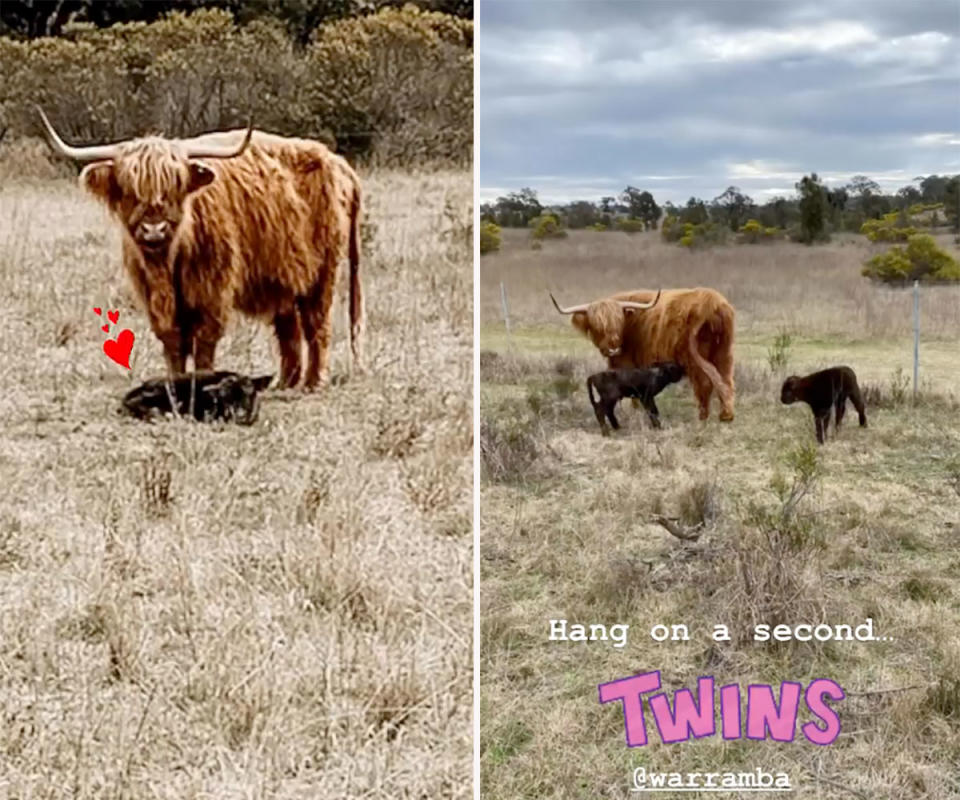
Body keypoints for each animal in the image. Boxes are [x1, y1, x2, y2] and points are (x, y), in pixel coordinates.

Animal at [36, 109, 360, 390]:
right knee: (288, 328)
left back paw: (313, 382)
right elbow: (172, 341)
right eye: (129, 189)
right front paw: (174, 384)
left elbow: (204, 340)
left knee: (317, 324)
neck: (170, 261)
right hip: (283, 276)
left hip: (323, 271)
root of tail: (337, 162)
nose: (154, 230)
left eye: (175, 186)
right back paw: (285, 383)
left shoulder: (212, 289)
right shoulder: (152, 294)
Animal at [552, 290, 740, 424]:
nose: (612, 348)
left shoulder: (626, 364)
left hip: (695, 357)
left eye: (617, 321)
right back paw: (726, 415)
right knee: (726, 380)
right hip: (724, 353)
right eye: (597, 326)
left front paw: (634, 413)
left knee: (705, 383)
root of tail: (713, 302)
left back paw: (703, 418)